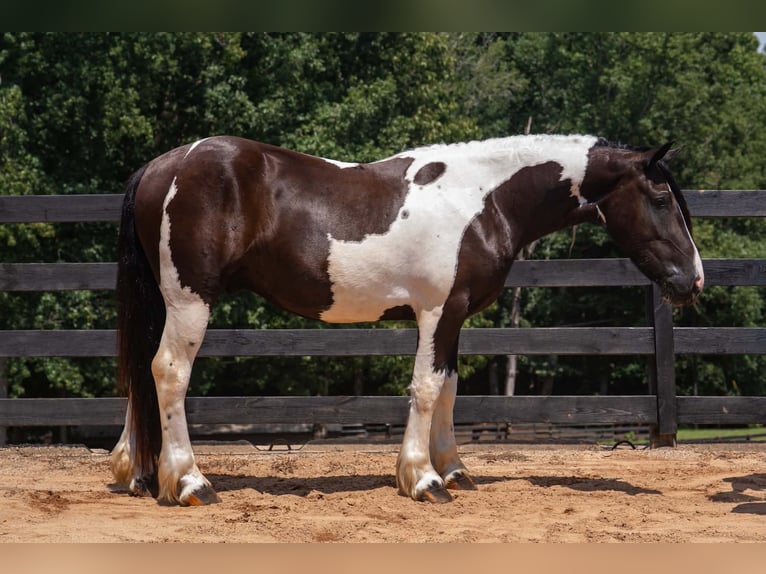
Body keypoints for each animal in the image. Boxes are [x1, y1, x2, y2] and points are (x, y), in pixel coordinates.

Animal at [110, 134, 704, 505]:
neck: (481, 199)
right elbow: (425, 387)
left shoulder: (454, 315)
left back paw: (137, 473)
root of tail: (164, 166)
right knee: (168, 373)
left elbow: (448, 387)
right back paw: (190, 483)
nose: (693, 282)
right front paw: (423, 479)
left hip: (165, 301)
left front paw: (455, 470)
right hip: (191, 300)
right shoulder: (437, 310)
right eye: (659, 197)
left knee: (141, 373)